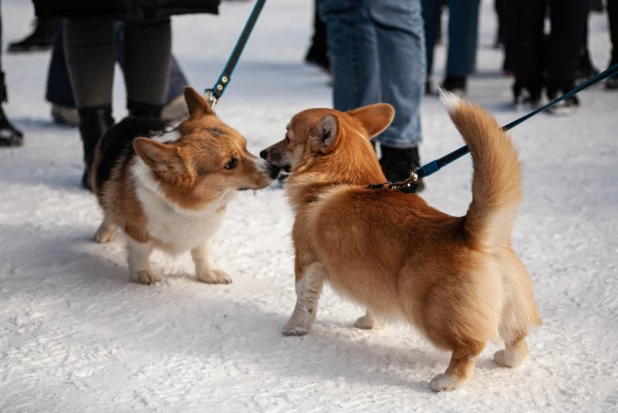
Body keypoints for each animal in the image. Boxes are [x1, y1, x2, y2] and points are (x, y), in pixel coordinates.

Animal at [91, 86, 274, 286]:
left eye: (245, 145)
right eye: (231, 163)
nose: (275, 169)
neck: (188, 204)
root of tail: (129, 119)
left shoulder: (204, 231)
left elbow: (202, 253)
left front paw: (208, 273)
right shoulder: (138, 231)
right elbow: (140, 253)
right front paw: (142, 273)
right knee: (108, 207)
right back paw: (104, 231)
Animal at [258, 91, 540, 392]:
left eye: (287, 138)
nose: (262, 153)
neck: (340, 180)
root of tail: (474, 234)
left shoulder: (306, 261)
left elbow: (304, 300)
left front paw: (294, 328)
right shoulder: (374, 279)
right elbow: (373, 305)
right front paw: (369, 323)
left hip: (433, 313)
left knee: (470, 346)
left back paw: (447, 381)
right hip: (509, 308)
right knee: (518, 341)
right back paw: (506, 359)